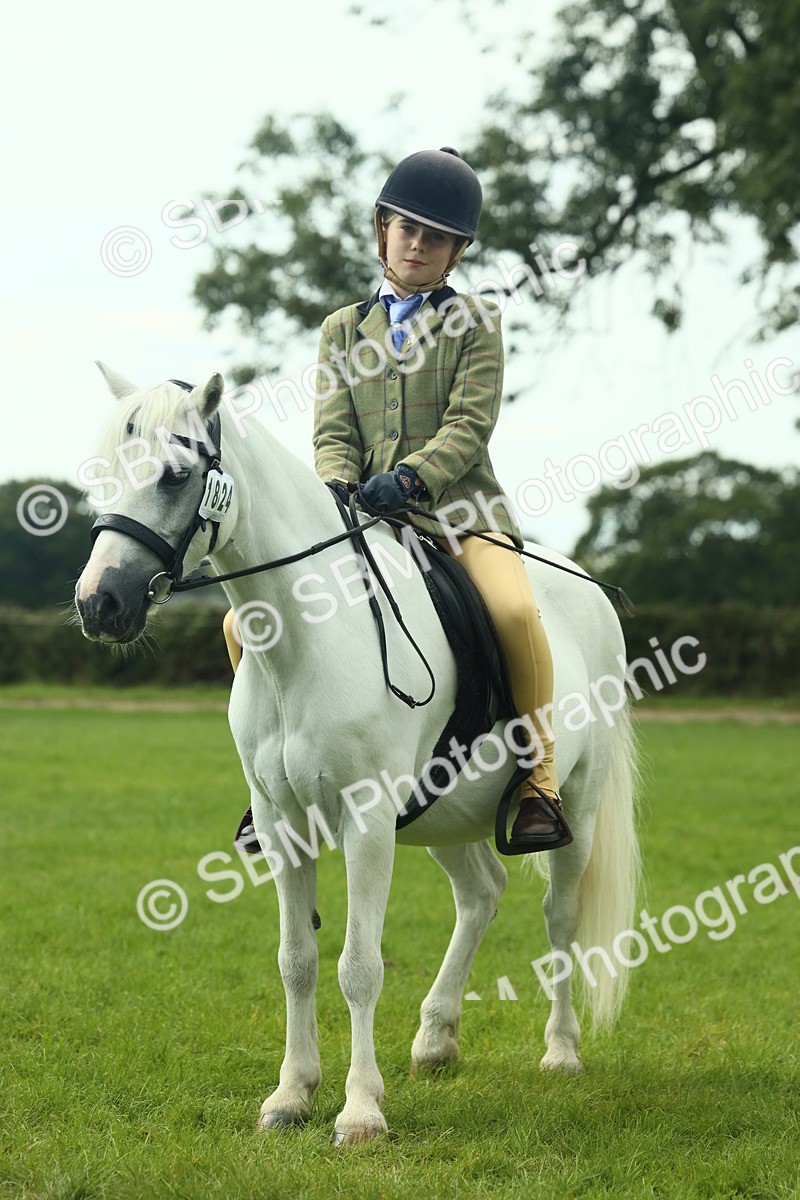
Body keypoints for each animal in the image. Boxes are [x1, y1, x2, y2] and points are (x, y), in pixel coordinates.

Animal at [74, 364, 641, 1147]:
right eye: (103, 471)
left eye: (175, 475)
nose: (99, 605)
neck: (304, 633)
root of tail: (588, 590)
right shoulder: (284, 824)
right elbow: (297, 961)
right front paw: (291, 1096)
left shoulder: (367, 822)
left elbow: (360, 966)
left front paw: (362, 1111)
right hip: (440, 812)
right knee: (481, 893)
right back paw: (435, 1039)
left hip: (576, 805)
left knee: (560, 911)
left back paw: (560, 1052)